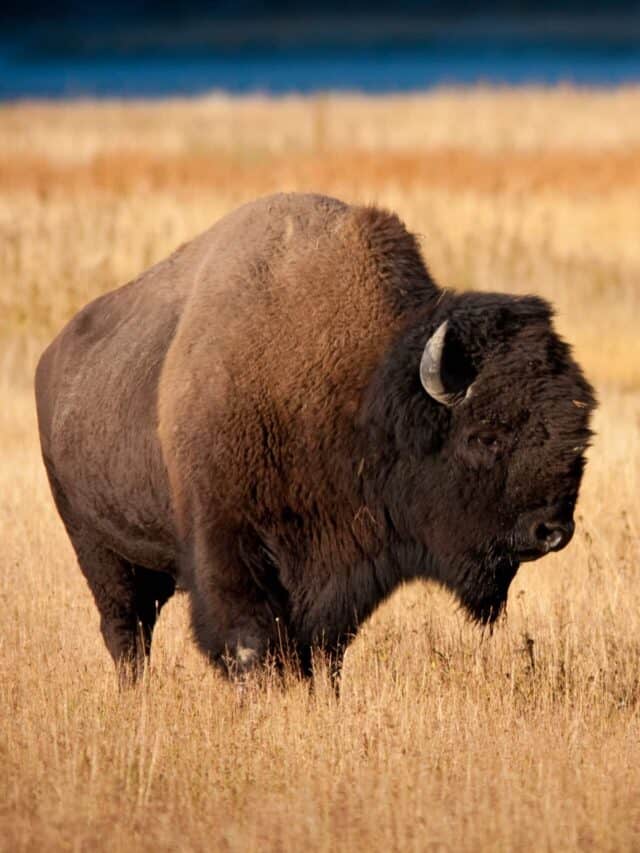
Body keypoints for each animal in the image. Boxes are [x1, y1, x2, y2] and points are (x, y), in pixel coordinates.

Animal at [35, 193, 595, 683]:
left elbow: (324, 649)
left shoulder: (340, 572)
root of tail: (52, 358)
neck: (360, 390)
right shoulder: (227, 545)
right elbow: (249, 643)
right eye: (485, 437)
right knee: (126, 630)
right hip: (98, 547)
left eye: (580, 435)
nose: (552, 531)